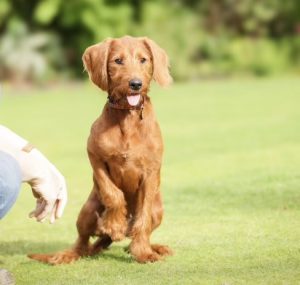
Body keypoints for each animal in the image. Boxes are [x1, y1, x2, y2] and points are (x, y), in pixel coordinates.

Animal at [28, 36, 173, 262]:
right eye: (118, 61)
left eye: (143, 59)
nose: (136, 84)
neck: (127, 117)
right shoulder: (96, 159)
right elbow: (113, 194)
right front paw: (114, 225)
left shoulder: (151, 172)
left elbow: (143, 218)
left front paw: (143, 251)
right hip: (86, 211)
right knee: (83, 242)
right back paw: (67, 255)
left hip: (158, 210)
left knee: (137, 229)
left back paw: (151, 246)